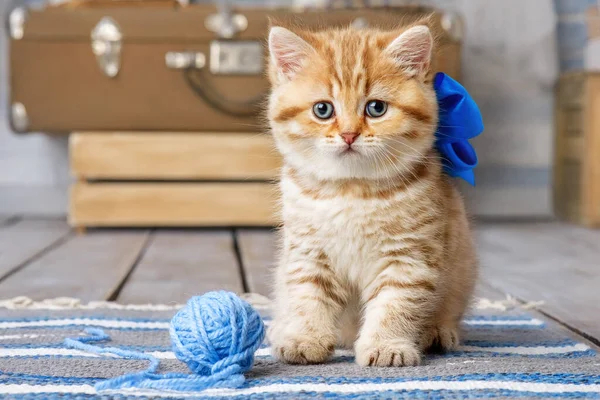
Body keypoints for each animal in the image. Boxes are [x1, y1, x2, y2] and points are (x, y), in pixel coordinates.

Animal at [268, 20, 478, 368]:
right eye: (323, 109)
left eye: (376, 108)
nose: (349, 134)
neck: (352, 190)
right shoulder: (308, 253)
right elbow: (308, 296)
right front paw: (304, 338)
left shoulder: (408, 256)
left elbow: (395, 304)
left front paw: (386, 345)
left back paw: (438, 331)